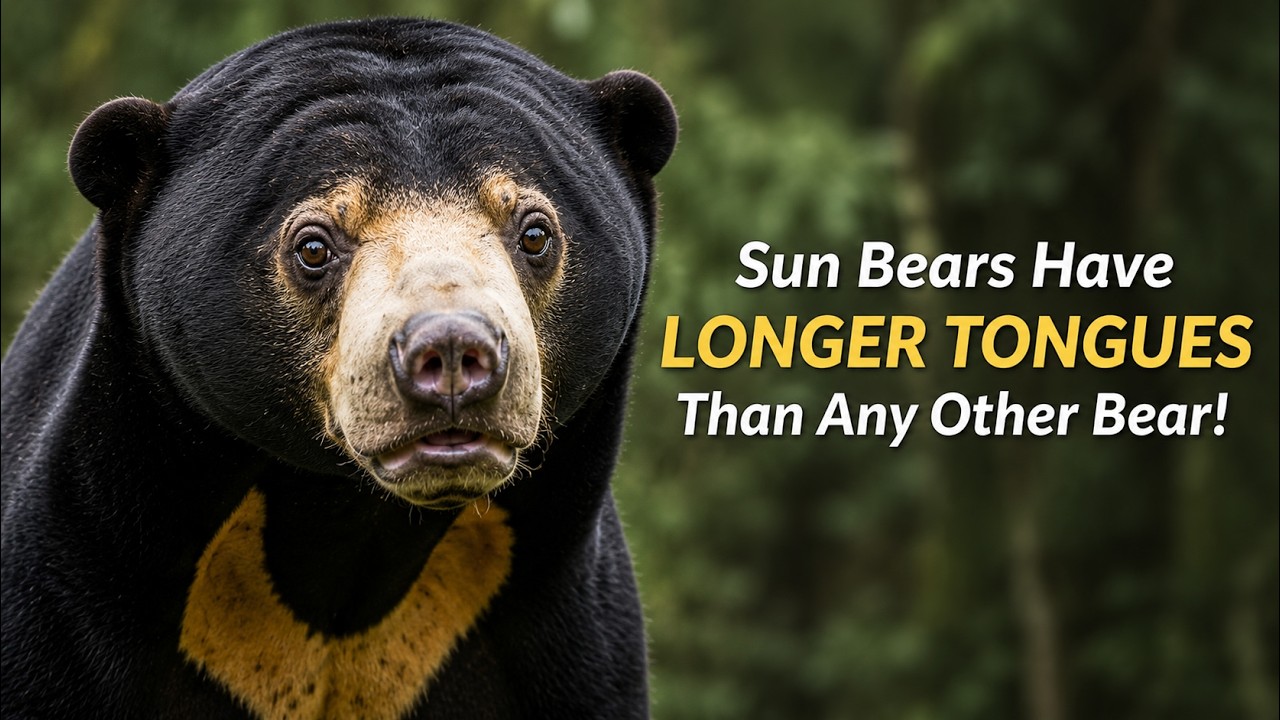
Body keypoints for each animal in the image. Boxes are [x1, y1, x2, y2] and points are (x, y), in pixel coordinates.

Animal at [0, 18, 676, 719]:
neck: (347, 529)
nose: (453, 352)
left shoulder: (564, 623)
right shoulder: (76, 582)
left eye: (536, 232)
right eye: (314, 246)